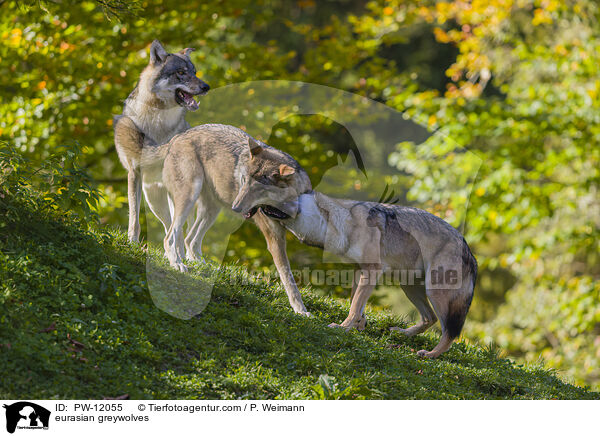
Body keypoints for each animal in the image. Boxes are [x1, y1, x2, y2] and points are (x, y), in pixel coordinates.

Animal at [230, 144, 478, 358]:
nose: (245, 207)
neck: (337, 223)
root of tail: (469, 249)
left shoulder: (372, 270)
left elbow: (355, 304)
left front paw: (342, 327)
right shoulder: (360, 270)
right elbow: (355, 304)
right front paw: (357, 326)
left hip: (434, 291)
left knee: (450, 333)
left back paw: (431, 354)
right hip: (409, 286)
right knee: (430, 319)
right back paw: (402, 334)